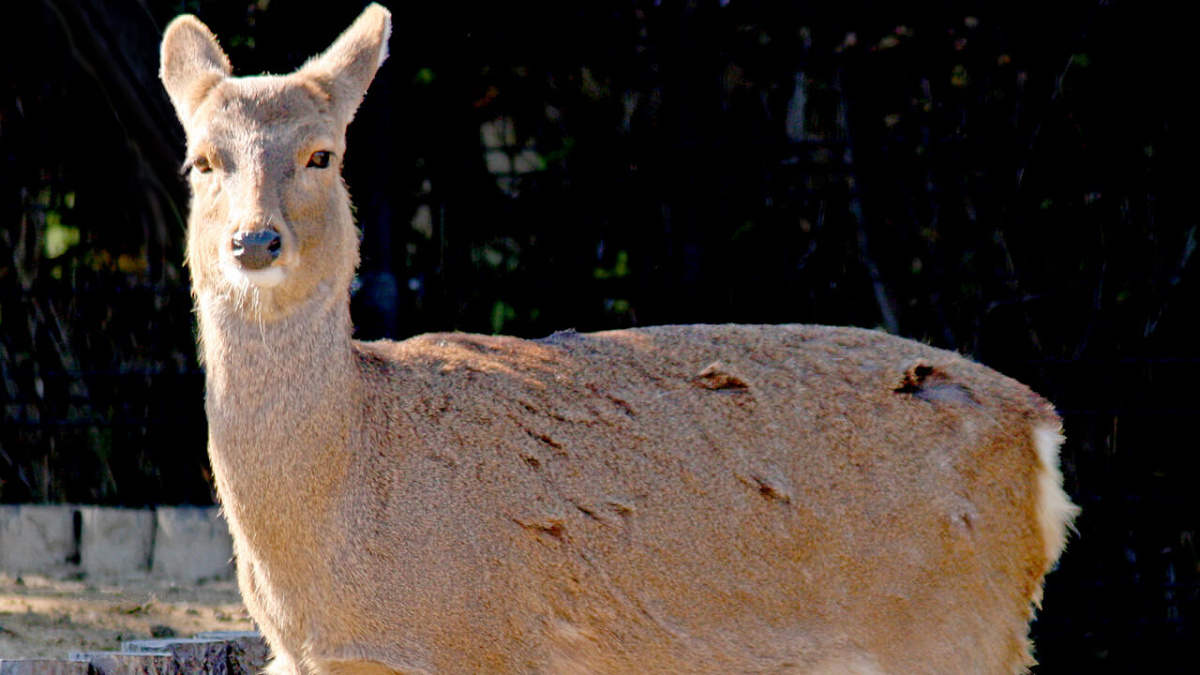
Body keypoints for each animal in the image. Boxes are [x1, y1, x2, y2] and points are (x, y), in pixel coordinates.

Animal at [157, 5, 1080, 672]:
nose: (255, 241)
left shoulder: (485, 646)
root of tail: (1042, 428)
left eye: (322, 154)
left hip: (954, 625)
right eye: (201, 160)